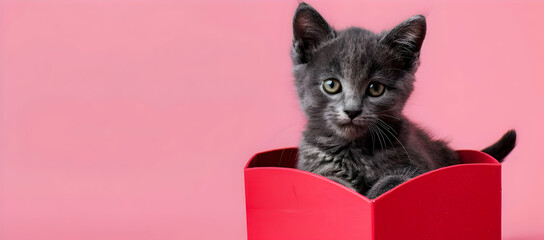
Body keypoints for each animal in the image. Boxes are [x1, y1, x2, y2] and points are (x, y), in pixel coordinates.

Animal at [292, 2, 516, 199]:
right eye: (331, 85)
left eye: (376, 88)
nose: (352, 111)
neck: (355, 149)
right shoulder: (314, 167)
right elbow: (330, 183)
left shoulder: (417, 167)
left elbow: (395, 180)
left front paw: (373, 197)